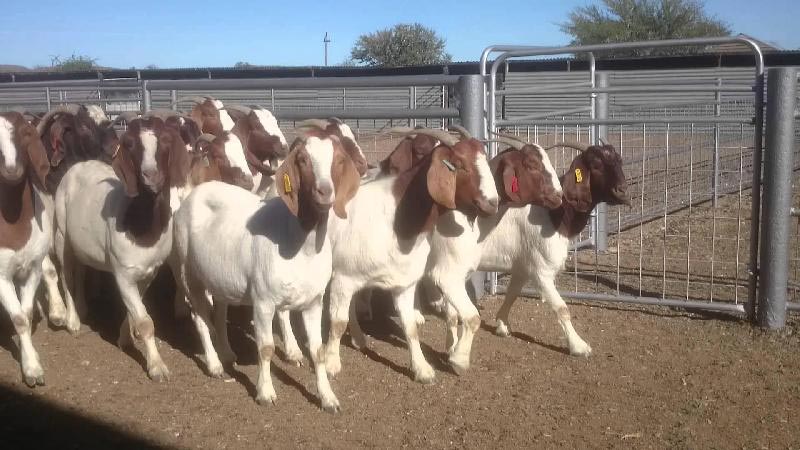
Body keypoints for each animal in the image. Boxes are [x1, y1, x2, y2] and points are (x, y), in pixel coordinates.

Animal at [54, 116, 193, 381]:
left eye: (166, 141)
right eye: (130, 145)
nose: (151, 174)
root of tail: (79, 165)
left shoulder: (149, 272)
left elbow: (135, 312)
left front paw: (125, 338)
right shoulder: (123, 272)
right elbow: (145, 322)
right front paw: (157, 367)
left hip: (82, 245)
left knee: (81, 272)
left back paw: (83, 308)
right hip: (61, 233)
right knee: (66, 275)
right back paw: (73, 321)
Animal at [172, 134, 361, 412]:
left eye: (338, 160)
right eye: (303, 160)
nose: (324, 191)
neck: (300, 245)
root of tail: (192, 194)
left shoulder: (313, 302)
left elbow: (316, 351)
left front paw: (328, 398)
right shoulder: (263, 301)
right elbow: (266, 348)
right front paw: (266, 393)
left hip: (221, 277)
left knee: (219, 312)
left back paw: (226, 354)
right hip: (187, 272)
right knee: (199, 316)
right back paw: (214, 365)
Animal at [322, 128, 500, 384]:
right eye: (459, 164)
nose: (492, 203)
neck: (395, 216)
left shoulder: (402, 284)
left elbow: (410, 328)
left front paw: (423, 369)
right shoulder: (344, 277)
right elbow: (337, 323)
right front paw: (331, 364)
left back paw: (358, 338)